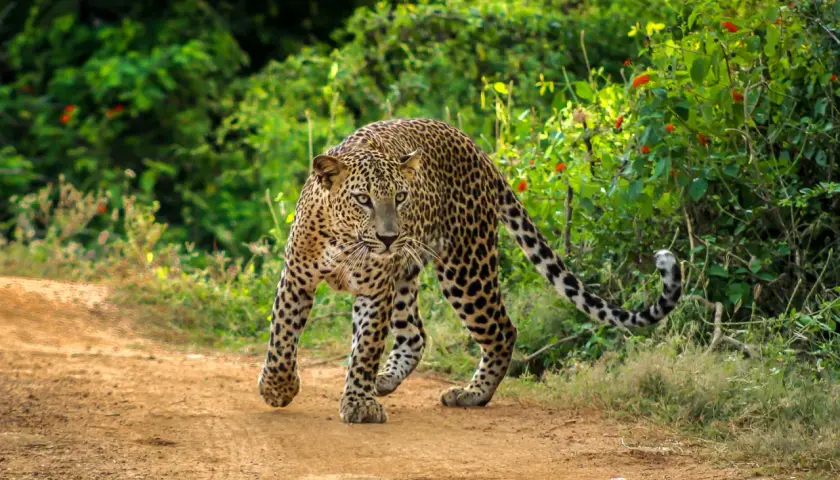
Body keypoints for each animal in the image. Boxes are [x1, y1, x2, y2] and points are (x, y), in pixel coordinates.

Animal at [258, 118, 682, 424]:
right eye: (363, 199)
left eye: (400, 197)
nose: (389, 237)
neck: (347, 239)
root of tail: (477, 149)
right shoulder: (297, 277)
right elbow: (282, 336)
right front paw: (278, 388)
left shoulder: (375, 289)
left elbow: (365, 347)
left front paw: (359, 403)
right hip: (411, 274)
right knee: (415, 334)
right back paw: (388, 380)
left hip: (465, 266)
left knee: (502, 330)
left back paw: (472, 394)